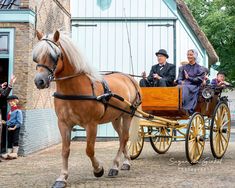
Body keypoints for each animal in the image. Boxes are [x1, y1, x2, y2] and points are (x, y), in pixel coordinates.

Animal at [32, 30, 141, 187]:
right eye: (36, 57)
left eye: (55, 55)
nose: (39, 81)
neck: (74, 90)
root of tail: (129, 78)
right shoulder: (63, 124)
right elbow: (65, 150)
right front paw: (62, 177)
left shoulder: (91, 124)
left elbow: (89, 150)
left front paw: (98, 169)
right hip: (115, 117)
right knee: (122, 138)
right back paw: (125, 162)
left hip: (127, 115)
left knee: (124, 137)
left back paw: (114, 166)